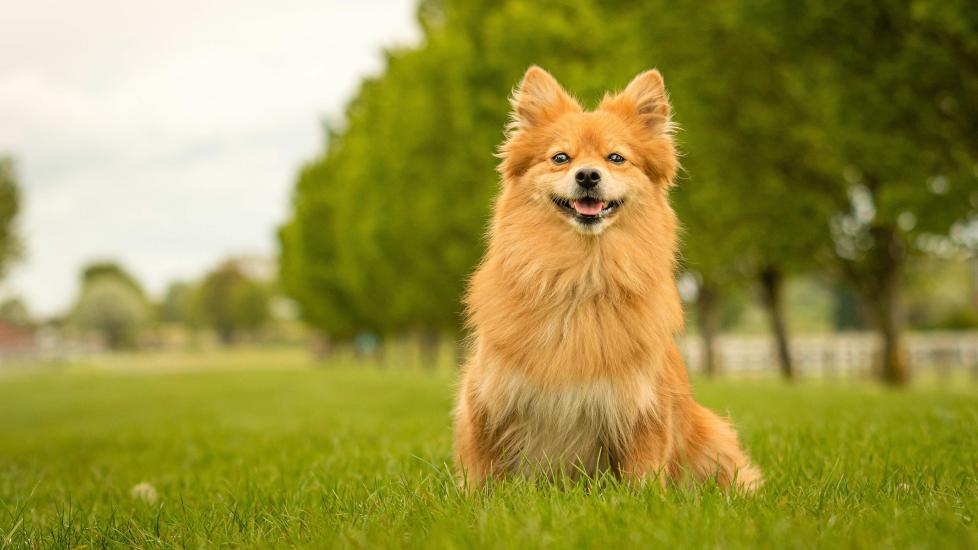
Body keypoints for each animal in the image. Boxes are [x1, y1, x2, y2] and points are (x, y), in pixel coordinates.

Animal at [452, 67, 764, 494]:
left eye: (616, 158)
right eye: (561, 158)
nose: (587, 175)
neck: (580, 276)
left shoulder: (641, 408)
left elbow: (642, 474)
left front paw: (642, 500)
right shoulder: (487, 399)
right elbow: (482, 470)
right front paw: (478, 499)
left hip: (711, 434)